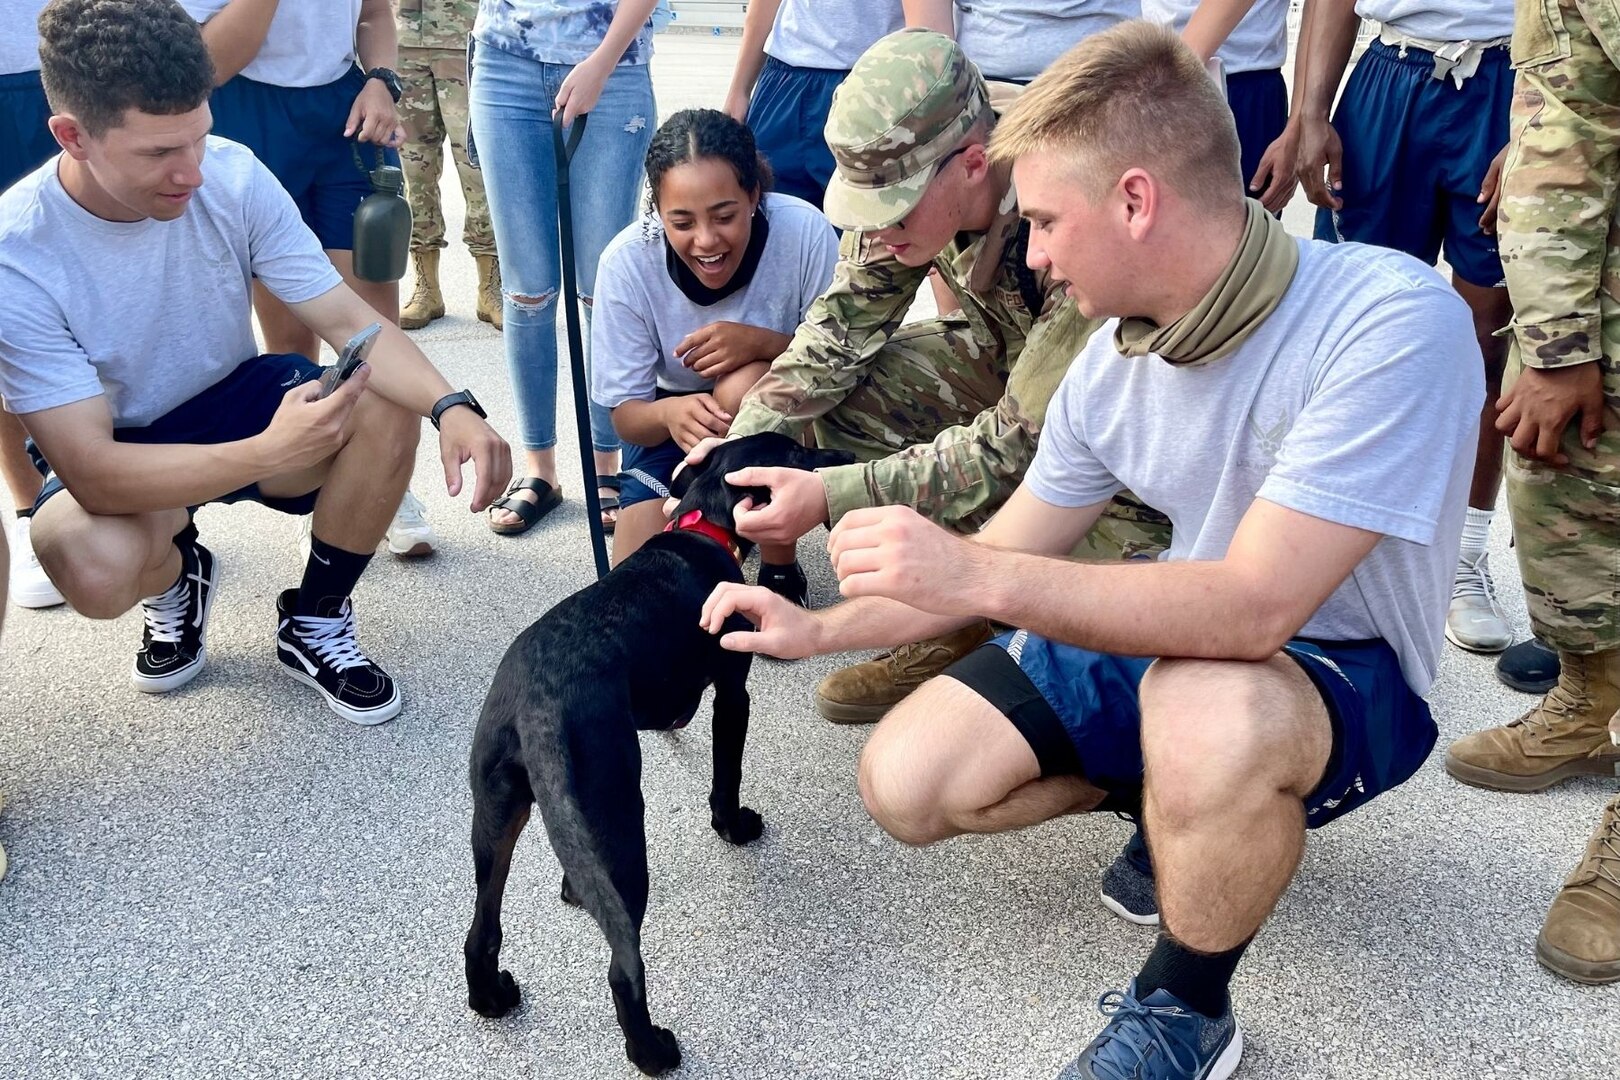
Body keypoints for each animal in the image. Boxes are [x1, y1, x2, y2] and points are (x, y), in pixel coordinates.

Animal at [463, 430, 855, 1075]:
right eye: (795, 454)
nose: (842, 461)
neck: (704, 525)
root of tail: (536, 702)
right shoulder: (733, 692)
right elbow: (727, 774)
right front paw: (734, 826)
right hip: (623, 817)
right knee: (623, 969)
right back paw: (650, 1050)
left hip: (498, 814)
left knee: (483, 928)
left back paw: (492, 995)